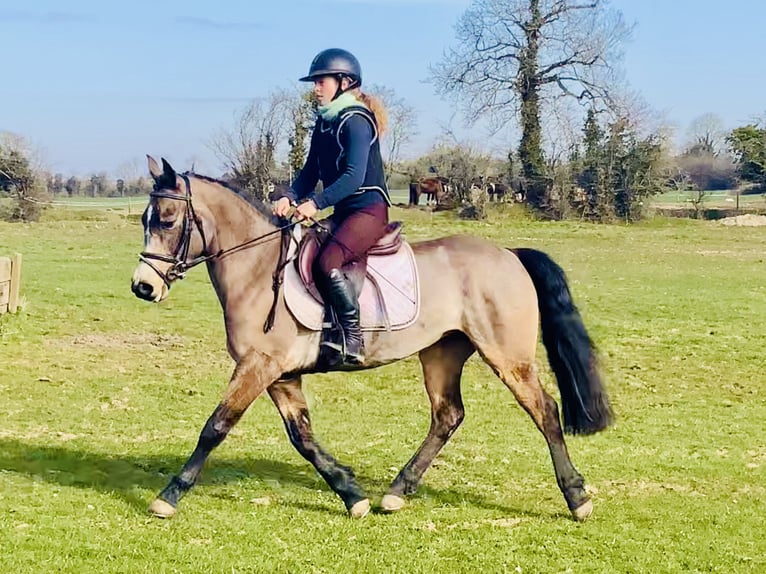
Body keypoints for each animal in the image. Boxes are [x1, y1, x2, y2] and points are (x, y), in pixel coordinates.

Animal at [130, 155, 612, 524]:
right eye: (145, 220)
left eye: (168, 221)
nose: (142, 287)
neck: (257, 268)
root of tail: (509, 254)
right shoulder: (279, 374)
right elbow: (302, 436)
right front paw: (351, 494)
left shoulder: (258, 366)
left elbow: (216, 427)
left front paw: (168, 496)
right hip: (442, 352)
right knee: (447, 415)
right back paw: (397, 491)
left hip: (507, 356)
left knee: (544, 410)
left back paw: (577, 498)